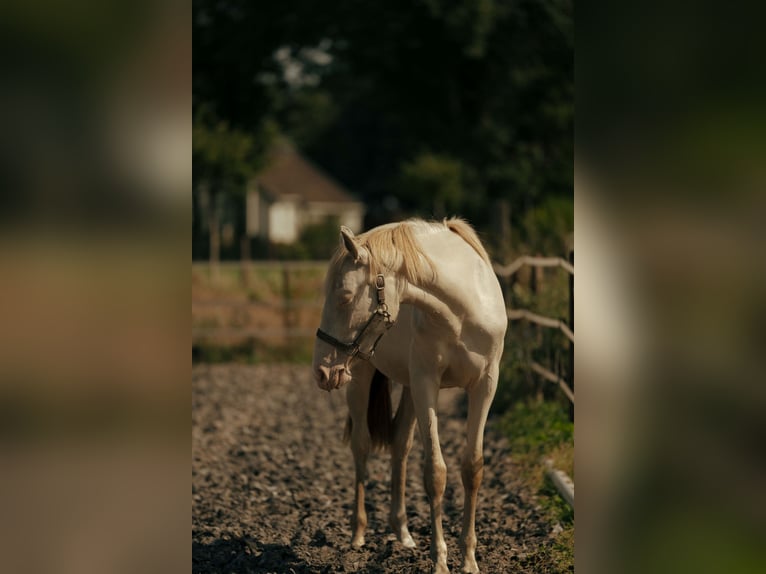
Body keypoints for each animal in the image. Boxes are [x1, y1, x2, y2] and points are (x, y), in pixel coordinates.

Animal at [312, 218, 510, 572]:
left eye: (345, 297)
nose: (320, 371)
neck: (462, 312)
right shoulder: (425, 384)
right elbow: (435, 473)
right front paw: (440, 562)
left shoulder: (485, 386)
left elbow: (472, 468)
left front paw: (469, 560)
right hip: (360, 378)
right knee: (361, 447)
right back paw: (358, 534)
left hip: (406, 388)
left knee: (399, 444)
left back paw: (403, 533)